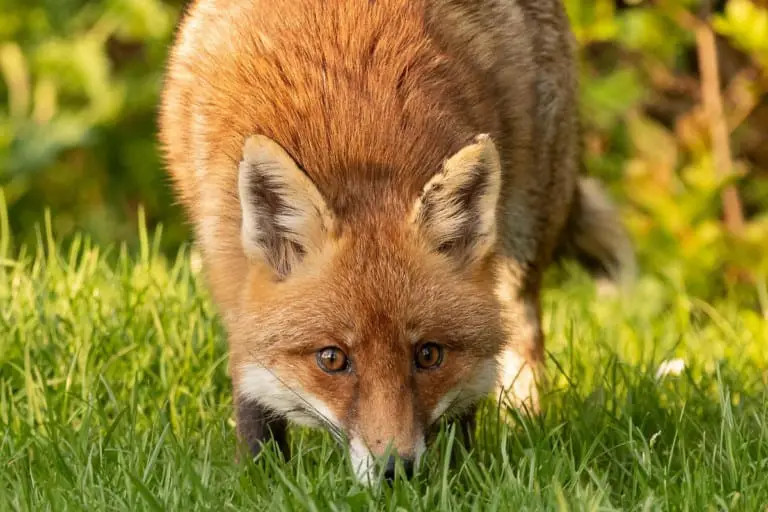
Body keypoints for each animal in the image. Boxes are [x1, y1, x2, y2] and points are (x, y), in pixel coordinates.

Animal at [158, 0, 634, 484]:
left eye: (428, 355)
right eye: (332, 359)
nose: (396, 472)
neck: (355, 137)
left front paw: (458, 479)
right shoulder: (230, 277)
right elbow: (253, 400)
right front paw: (261, 476)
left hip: (522, 238)